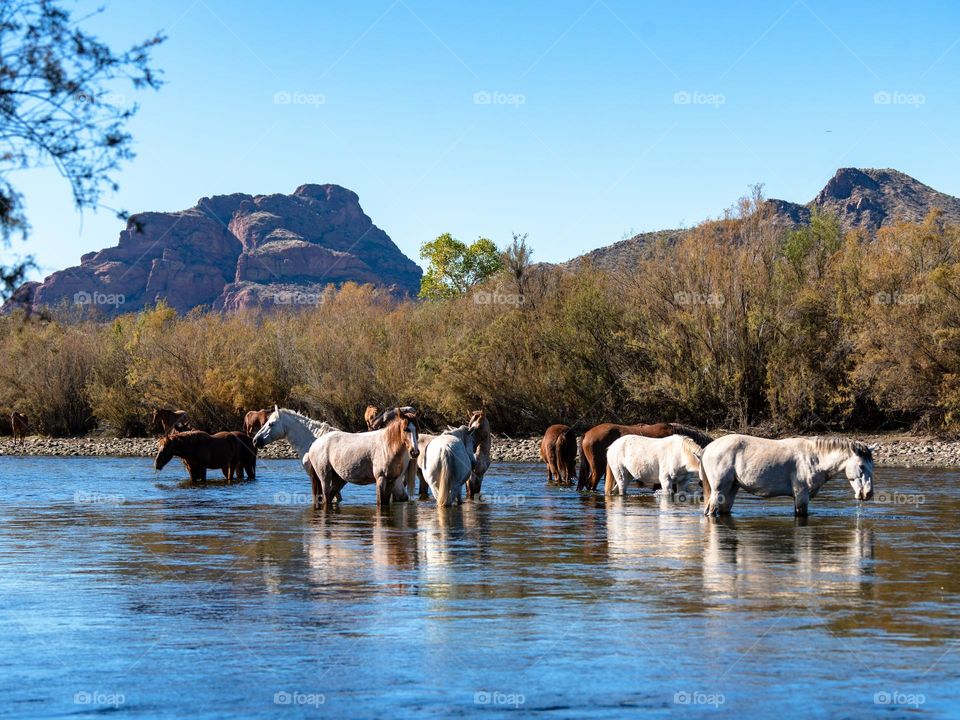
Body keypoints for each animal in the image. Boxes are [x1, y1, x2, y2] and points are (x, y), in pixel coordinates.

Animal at [700, 435, 875, 517]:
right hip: (718, 490)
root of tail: (708, 448)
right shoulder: (801, 495)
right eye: (861, 466)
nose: (868, 494)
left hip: (731, 489)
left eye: (872, 467)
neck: (814, 458)